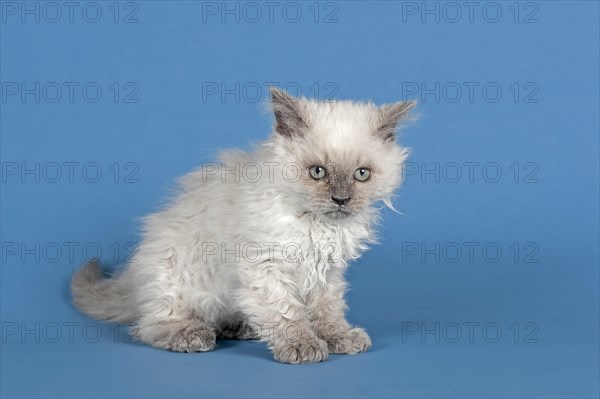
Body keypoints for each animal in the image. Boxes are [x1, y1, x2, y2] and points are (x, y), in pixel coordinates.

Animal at [70, 88, 414, 366]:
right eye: (318, 172)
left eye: (361, 174)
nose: (341, 199)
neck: (317, 225)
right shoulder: (267, 267)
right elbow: (287, 313)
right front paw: (302, 345)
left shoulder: (326, 273)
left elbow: (327, 310)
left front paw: (339, 337)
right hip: (175, 280)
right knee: (149, 326)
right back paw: (190, 333)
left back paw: (241, 327)